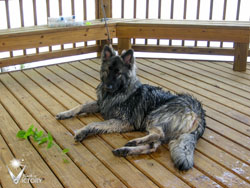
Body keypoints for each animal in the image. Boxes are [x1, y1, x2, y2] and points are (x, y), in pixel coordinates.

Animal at [55, 44, 206, 171]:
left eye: (118, 73)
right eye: (108, 70)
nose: (107, 86)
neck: (117, 93)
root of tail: (198, 111)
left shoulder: (124, 122)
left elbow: (93, 123)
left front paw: (82, 131)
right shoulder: (101, 104)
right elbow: (81, 106)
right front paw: (65, 113)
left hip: (154, 115)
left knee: (158, 134)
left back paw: (134, 141)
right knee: (152, 146)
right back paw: (126, 150)